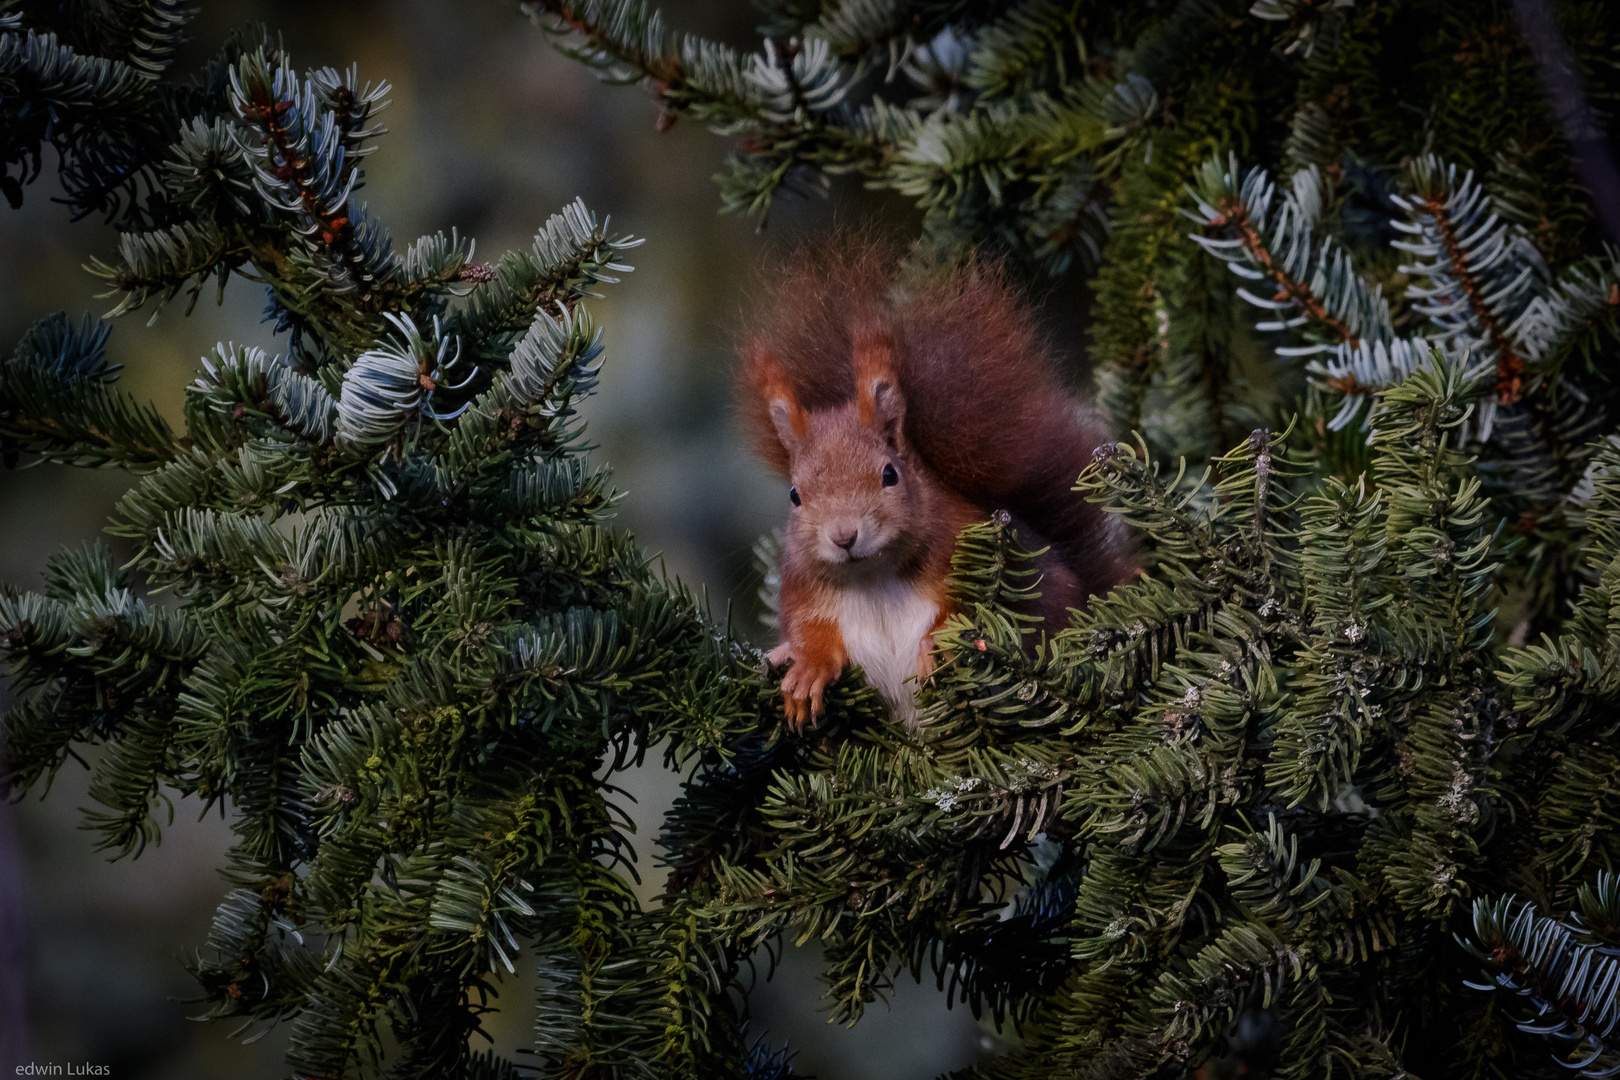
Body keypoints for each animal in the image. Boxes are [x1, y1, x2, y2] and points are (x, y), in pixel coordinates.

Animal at [741, 234, 1134, 725]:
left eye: (889, 474)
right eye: (795, 495)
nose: (844, 536)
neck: (873, 576)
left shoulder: (965, 543)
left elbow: (968, 607)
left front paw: (938, 644)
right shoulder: (801, 586)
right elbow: (808, 628)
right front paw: (808, 666)